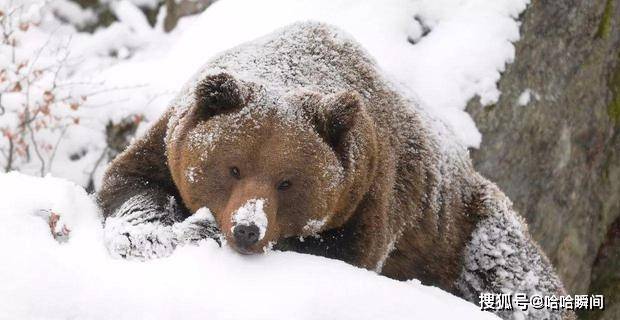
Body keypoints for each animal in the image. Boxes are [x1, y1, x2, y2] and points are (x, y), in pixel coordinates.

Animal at [98, 21, 576, 318]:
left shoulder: (369, 193)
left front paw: (200, 230)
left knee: (511, 268)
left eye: (286, 181)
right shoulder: (167, 140)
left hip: (464, 228)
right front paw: (147, 233)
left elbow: (341, 253)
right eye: (232, 168)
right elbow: (131, 183)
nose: (247, 229)